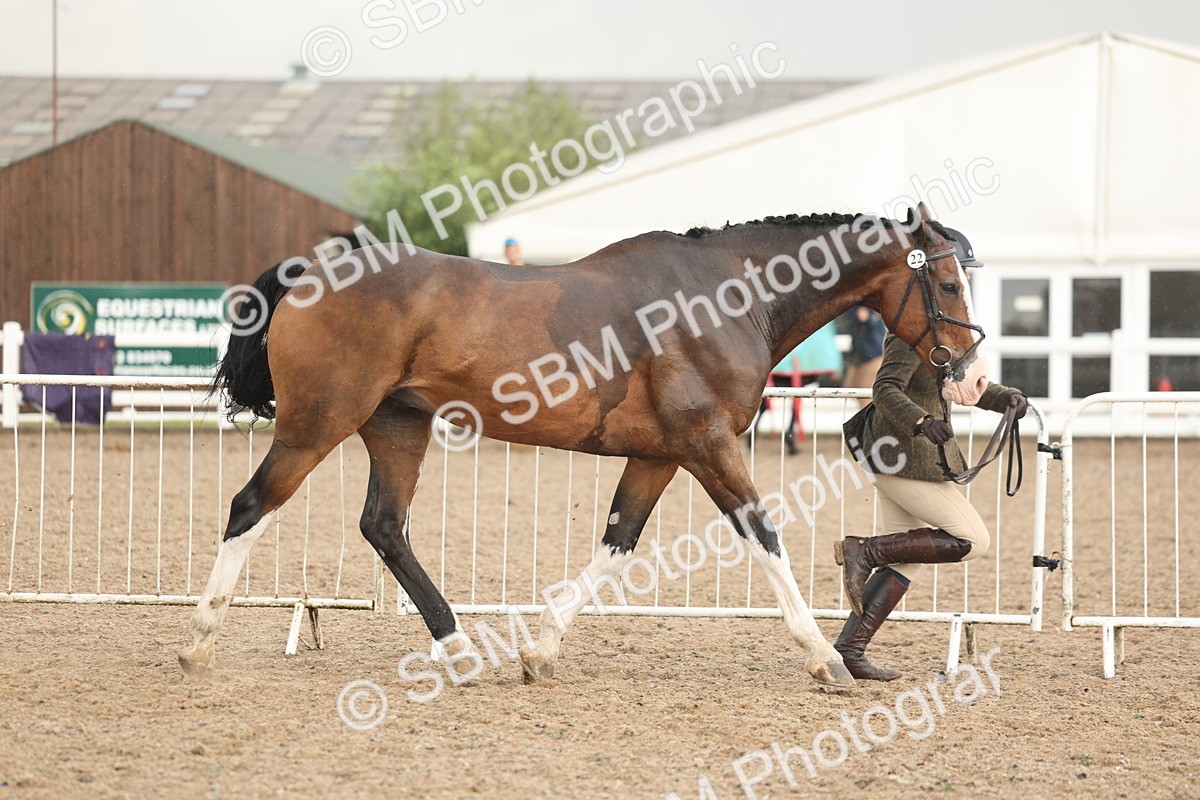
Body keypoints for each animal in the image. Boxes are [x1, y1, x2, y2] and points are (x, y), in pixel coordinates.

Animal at [179, 202, 988, 690]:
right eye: (948, 283)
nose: (976, 379)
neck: (728, 297)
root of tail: (311, 274)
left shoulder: (661, 456)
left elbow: (618, 542)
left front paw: (540, 651)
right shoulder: (709, 446)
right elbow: (764, 537)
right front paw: (823, 658)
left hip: (397, 427)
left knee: (384, 527)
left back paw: (460, 650)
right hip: (316, 425)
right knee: (251, 506)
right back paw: (197, 642)